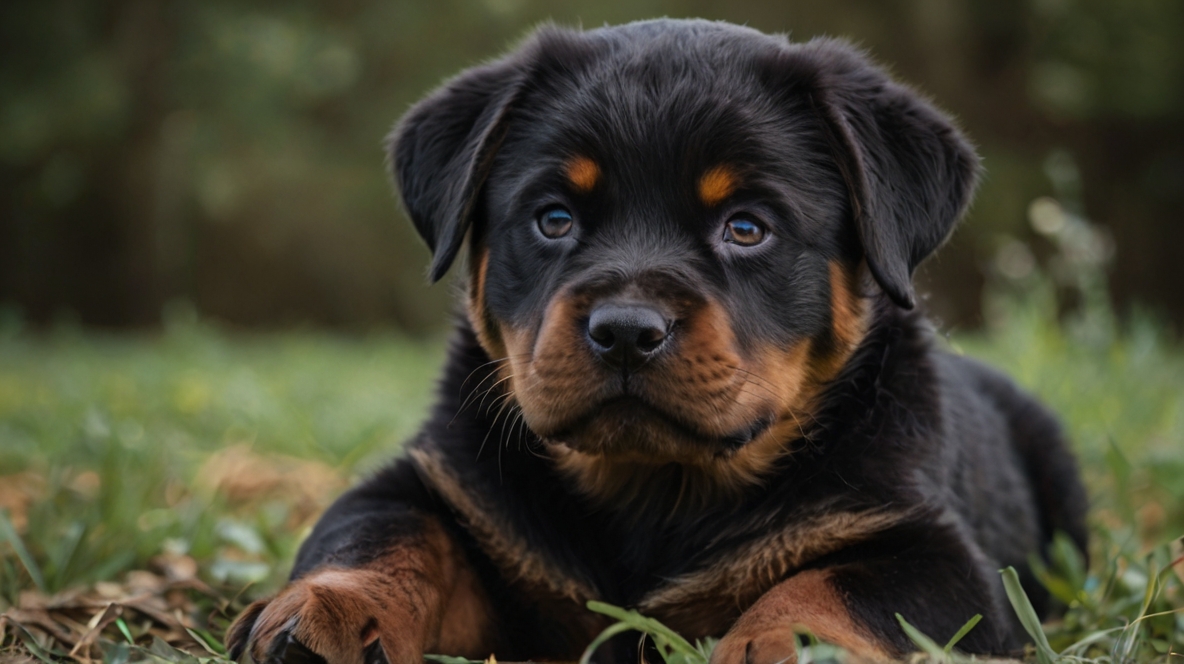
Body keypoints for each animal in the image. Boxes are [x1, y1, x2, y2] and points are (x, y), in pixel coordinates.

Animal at [226, 18, 1084, 658]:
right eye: (554, 219)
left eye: (747, 227)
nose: (627, 330)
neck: (654, 490)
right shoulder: (436, 485)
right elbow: (381, 534)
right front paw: (327, 611)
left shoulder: (935, 553)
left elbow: (834, 588)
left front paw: (778, 646)